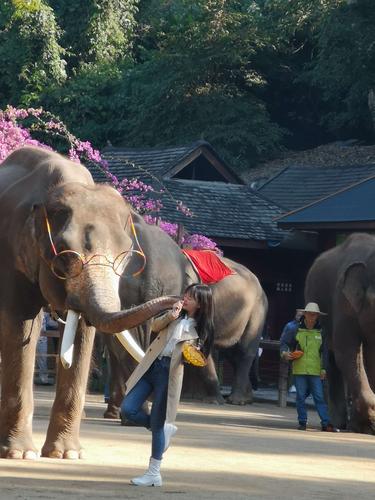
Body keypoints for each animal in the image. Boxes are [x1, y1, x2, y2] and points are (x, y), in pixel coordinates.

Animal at [0, 146, 176, 458]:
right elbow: (21, 327)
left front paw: (67, 455)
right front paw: (21, 454)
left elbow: (84, 332)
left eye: (128, 255)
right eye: (65, 255)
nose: (179, 303)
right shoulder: (11, 254)